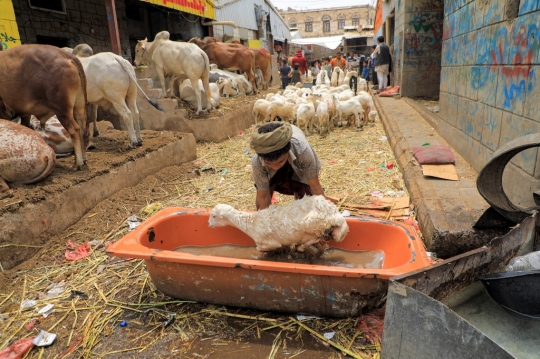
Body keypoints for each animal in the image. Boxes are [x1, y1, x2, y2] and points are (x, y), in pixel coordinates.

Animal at [207, 195, 350, 255]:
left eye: (214, 216)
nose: (209, 225)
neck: (251, 224)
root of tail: (335, 213)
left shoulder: (269, 242)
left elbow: (260, 248)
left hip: (315, 224)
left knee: (319, 236)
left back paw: (301, 247)